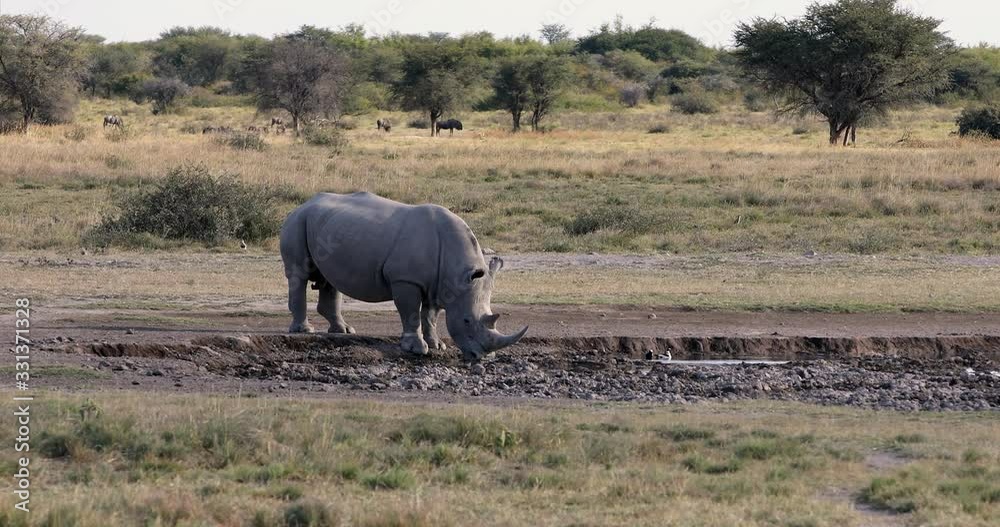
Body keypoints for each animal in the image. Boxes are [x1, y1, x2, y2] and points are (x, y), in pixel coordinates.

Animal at [279, 192, 528, 360]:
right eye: (466, 321)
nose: (481, 357)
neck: (456, 269)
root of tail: (303, 204)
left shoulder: (438, 284)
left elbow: (430, 316)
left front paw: (437, 345)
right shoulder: (406, 280)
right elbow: (411, 313)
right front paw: (416, 348)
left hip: (326, 224)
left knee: (329, 280)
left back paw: (343, 330)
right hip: (297, 221)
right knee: (299, 274)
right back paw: (304, 330)